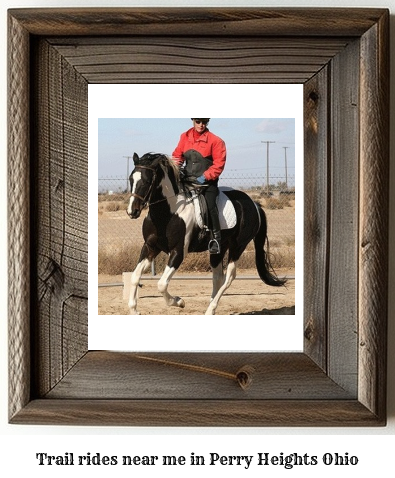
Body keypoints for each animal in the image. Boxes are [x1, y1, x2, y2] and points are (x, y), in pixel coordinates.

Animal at [127, 152, 284, 314]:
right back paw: (211, 307)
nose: (132, 211)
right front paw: (134, 310)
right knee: (218, 277)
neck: (169, 213)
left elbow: (162, 284)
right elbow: (135, 276)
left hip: (238, 247)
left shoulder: (178, 252)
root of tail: (253, 204)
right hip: (219, 249)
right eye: (131, 179)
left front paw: (179, 301)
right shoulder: (150, 247)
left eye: (147, 181)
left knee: (229, 277)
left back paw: (210, 309)